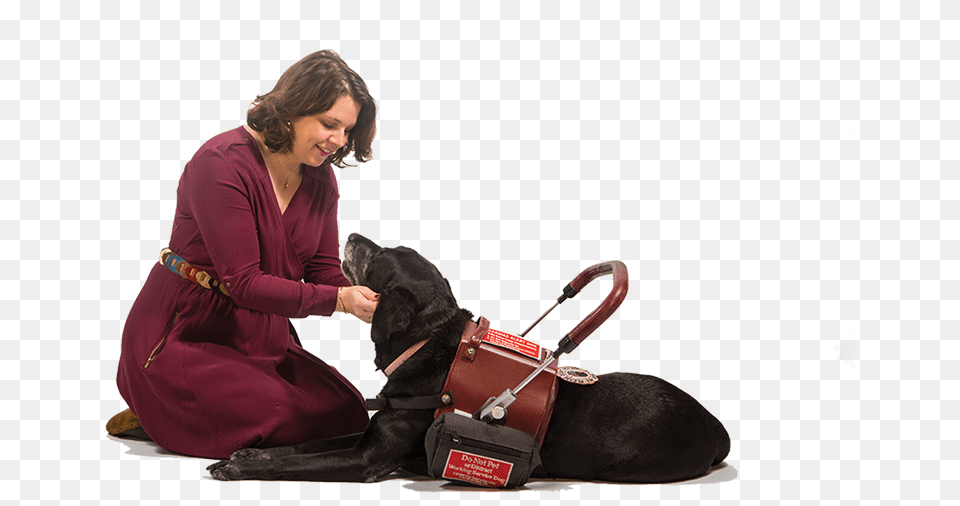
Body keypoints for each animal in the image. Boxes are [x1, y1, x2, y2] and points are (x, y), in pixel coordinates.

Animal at [210, 235, 732, 484]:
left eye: (379, 257)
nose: (353, 233)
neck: (428, 346)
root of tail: (718, 426)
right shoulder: (368, 431)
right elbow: (305, 445)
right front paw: (252, 452)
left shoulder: (367, 458)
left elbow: (305, 461)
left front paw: (240, 469)